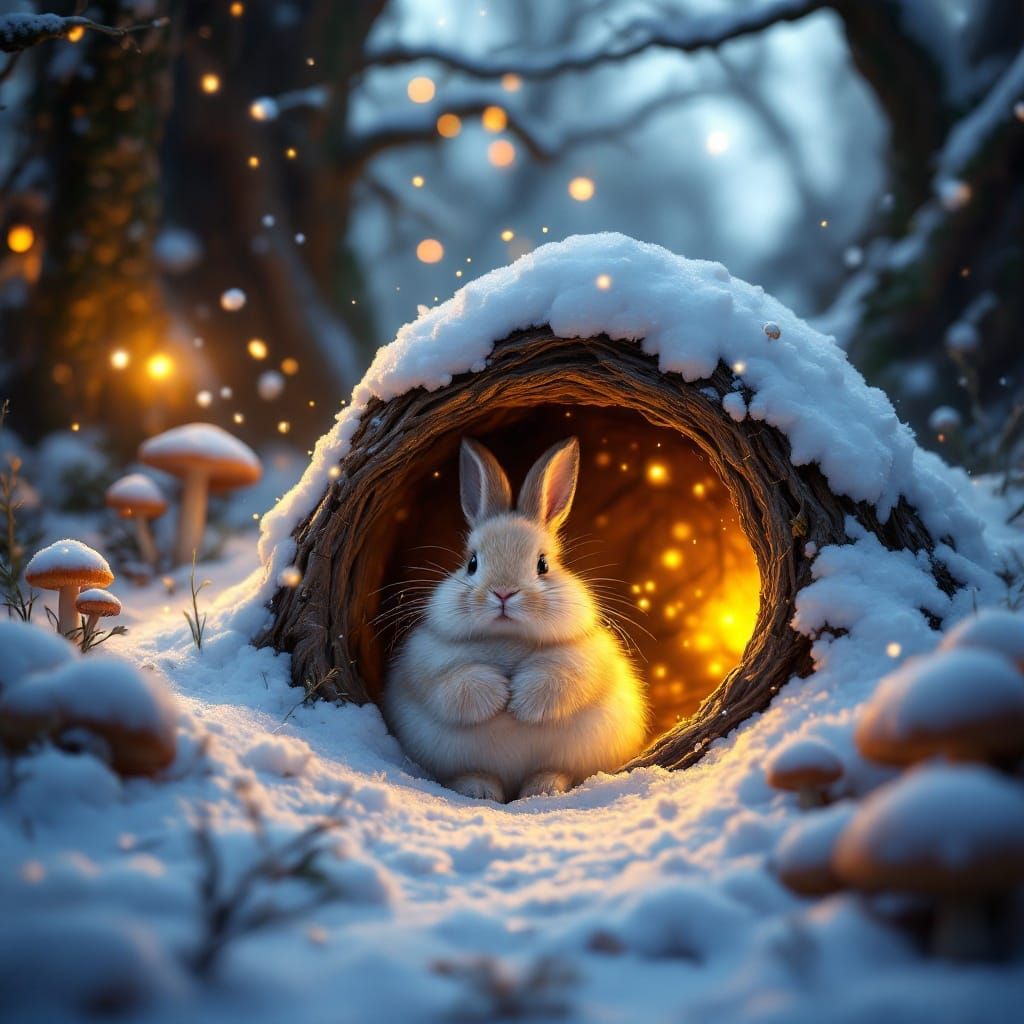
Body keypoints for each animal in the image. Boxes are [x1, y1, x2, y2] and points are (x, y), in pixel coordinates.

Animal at [384, 435, 650, 802]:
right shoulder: (427, 664)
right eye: (472, 563)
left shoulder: (585, 660)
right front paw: (500, 694)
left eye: (543, 564)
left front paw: (519, 701)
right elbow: (455, 685)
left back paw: (544, 788)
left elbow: (560, 680)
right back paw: (481, 791)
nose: (504, 593)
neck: (507, 639)